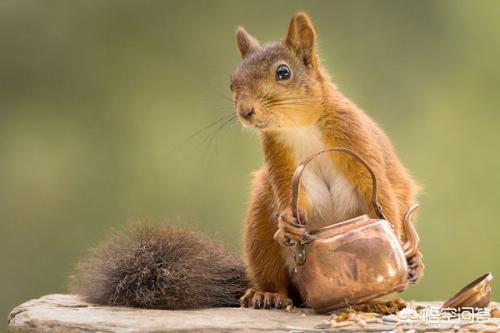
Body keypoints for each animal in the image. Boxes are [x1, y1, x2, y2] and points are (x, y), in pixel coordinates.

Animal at [71, 12, 422, 308]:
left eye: (283, 72)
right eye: (232, 82)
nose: (245, 111)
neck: (300, 127)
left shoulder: (356, 141)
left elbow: (382, 195)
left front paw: (396, 244)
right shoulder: (279, 160)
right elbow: (294, 197)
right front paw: (288, 221)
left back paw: (386, 292)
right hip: (259, 230)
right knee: (275, 277)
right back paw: (267, 294)